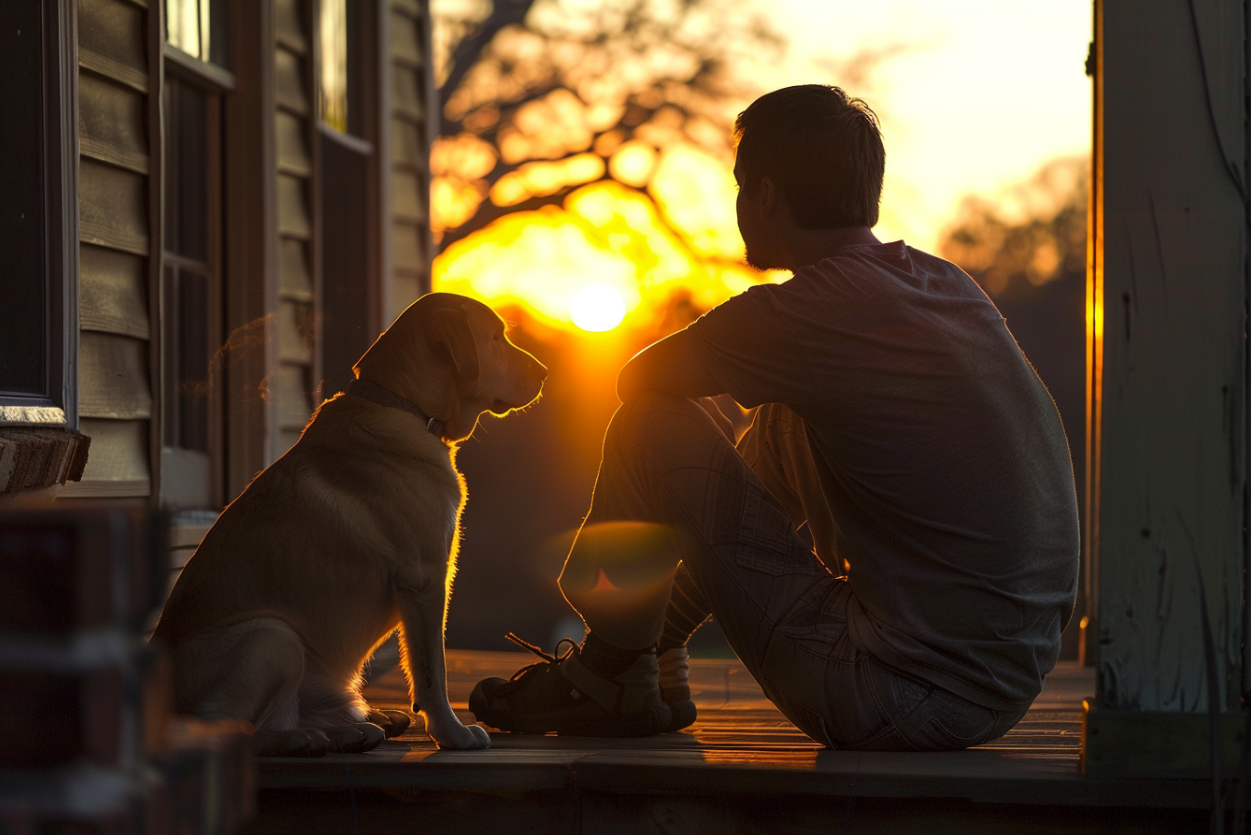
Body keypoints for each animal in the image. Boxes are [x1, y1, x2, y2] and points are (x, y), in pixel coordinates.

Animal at [150, 290, 547, 756]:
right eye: (496, 338)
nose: (545, 372)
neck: (405, 406)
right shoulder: (424, 580)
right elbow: (432, 672)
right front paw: (452, 734)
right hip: (273, 638)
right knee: (226, 729)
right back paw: (303, 738)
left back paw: (350, 729)